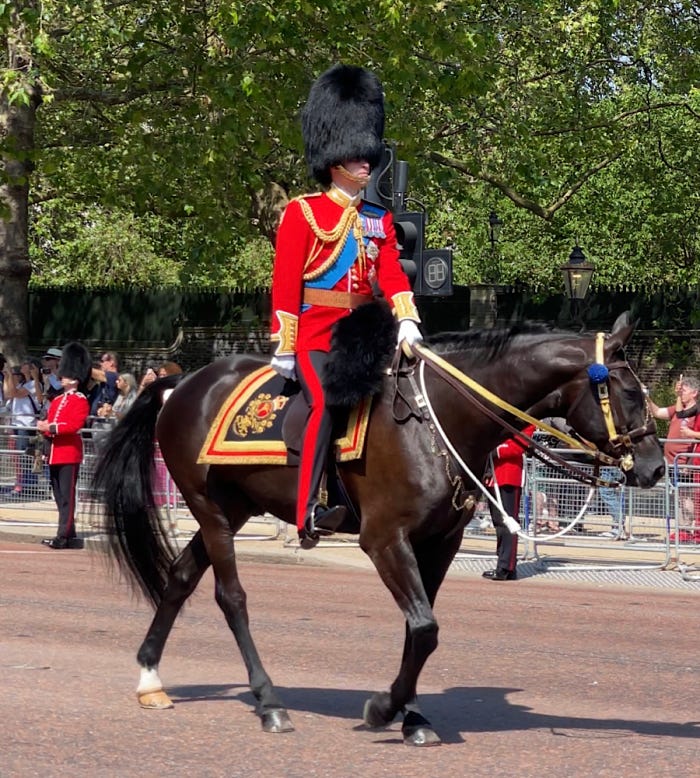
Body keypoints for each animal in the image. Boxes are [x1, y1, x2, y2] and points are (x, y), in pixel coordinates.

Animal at [93, 312, 660, 744]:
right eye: (630, 391)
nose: (655, 468)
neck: (436, 421)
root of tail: (181, 384)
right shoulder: (385, 539)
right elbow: (425, 627)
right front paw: (385, 708)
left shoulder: (440, 542)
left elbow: (419, 629)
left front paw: (411, 715)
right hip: (209, 508)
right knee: (230, 597)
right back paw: (269, 700)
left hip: (233, 508)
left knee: (181, 577)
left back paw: (150, 679)